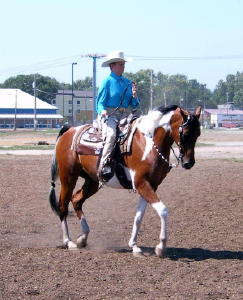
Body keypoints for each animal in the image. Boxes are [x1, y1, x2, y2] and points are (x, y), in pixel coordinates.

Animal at [49, 105, 201, 258]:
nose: (189, 163)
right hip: (68, 178)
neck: (148, 144)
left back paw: (83, 237)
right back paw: (69, 242)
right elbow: (163, 210)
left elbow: (139, 217)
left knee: (76, 199)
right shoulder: (142, 184)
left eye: (198, 134)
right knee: (62, 206)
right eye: (185, 134)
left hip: (92, 181)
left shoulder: (150, 186)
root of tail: (69, 130)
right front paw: (161, 247)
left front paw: (134, 246)